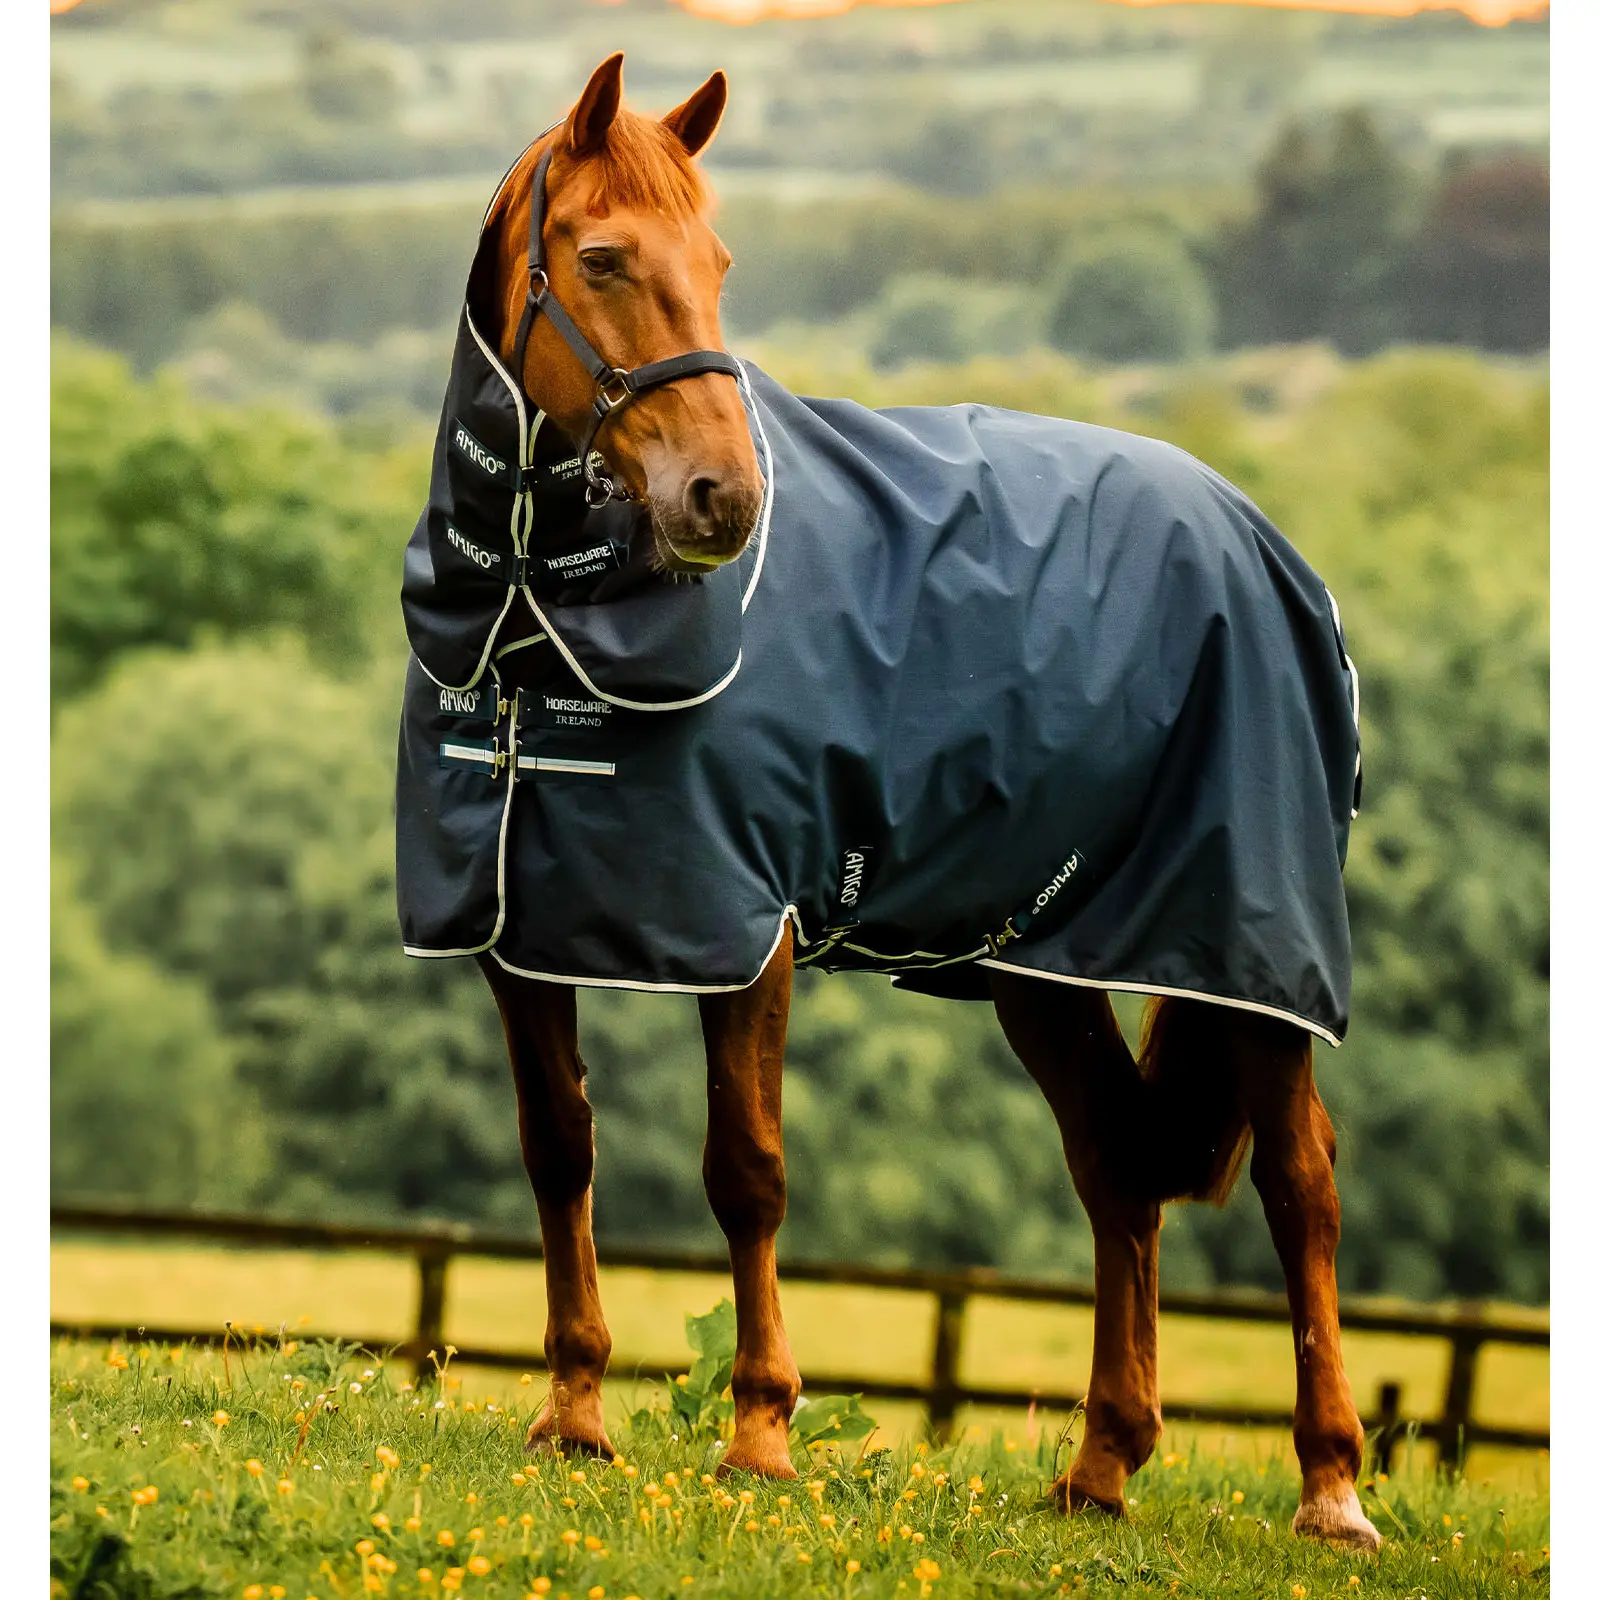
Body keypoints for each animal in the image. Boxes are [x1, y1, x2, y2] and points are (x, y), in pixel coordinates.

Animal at [401, 52, 1379, 1551]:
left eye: (719, 263)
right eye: (605, 256)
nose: (723, 500)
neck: (533, 629)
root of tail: (1265, 543)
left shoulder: (748, 931)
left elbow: (745, 1168)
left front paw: (759, 1434)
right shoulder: (519, 931)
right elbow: (558, 1150)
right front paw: (572, 1415)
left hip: (1250, 953)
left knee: (1301, 1187)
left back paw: (1330, 1489)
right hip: (1045, 962)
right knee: (1116, 1168)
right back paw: (1101, 1466)